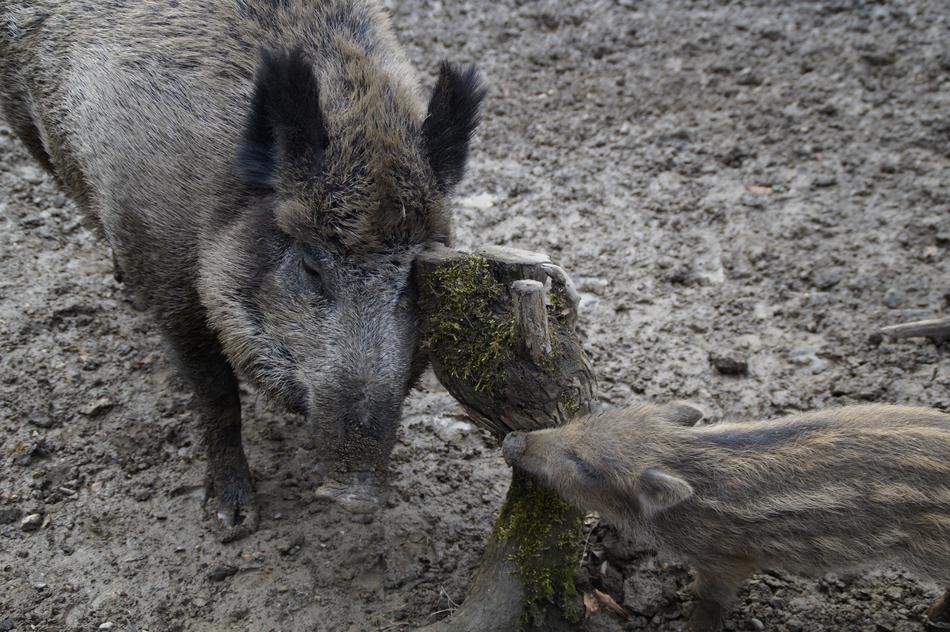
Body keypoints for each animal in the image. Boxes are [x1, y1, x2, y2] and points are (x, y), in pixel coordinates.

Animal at [0, 0, 485, 540]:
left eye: (414, 273)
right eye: (311, 267)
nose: (358, 494)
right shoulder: (164, 271)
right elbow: (216, 394)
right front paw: (230, 521)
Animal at [502, 403, 950, 631]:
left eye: (585, 466)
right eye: (586, 417)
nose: (512, 440)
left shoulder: (729, 559)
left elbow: (712, 595)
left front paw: (692, 621)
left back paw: (931, 616)